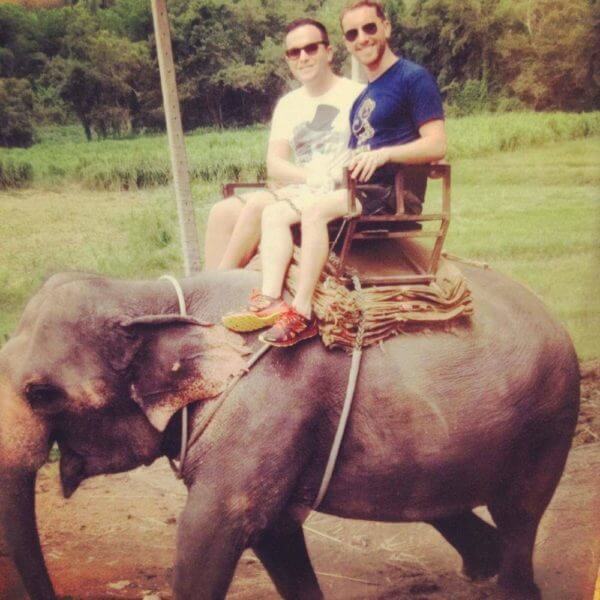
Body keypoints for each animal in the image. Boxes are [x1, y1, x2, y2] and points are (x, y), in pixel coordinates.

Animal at [0, 264, 580, 596]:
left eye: (40, 393)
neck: (149, 296)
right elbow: (275, 534)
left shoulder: (264, 413)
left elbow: (211, 532)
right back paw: (480, 567)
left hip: (548, 421)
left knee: (520, 513)